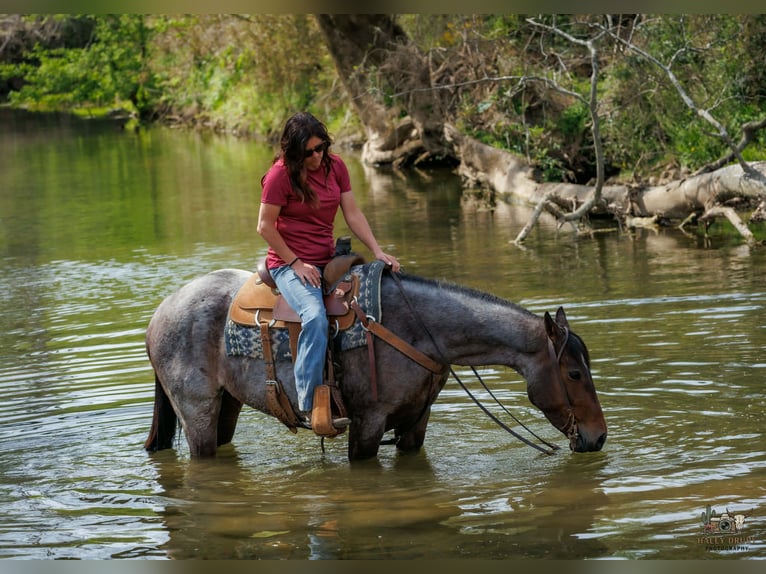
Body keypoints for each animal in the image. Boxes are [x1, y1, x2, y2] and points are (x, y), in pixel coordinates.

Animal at [143, 267, 607, 461]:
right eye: (573, 373)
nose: (599, 437)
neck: (419, 330)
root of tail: (160, 313)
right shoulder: (367, 423)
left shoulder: (415, 422)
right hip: (198, 414)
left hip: (228, 406)